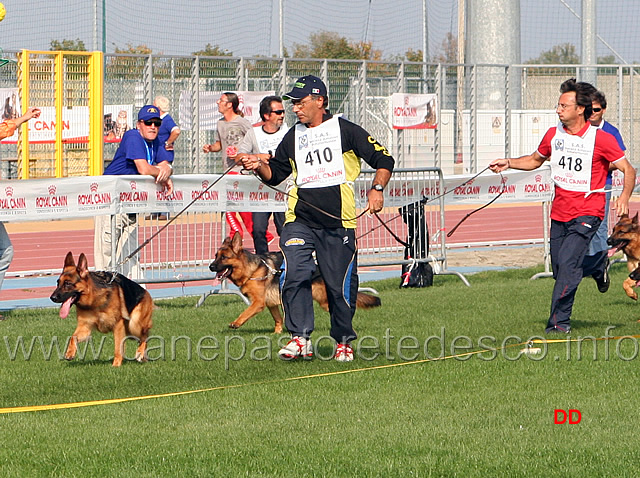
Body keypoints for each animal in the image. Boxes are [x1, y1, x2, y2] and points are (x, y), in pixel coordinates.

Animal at [209, 232, 380, 332]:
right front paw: (277, 334)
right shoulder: (271, 303)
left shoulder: (258, 302)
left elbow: (246, 312)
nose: (210, 267)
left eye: (224, 258)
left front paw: (236, 323)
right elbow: (278, 319)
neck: (251, 270)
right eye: (216, 256)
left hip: (324, 301)